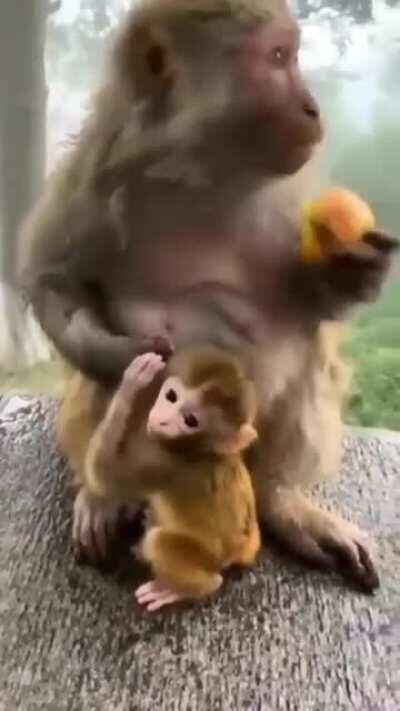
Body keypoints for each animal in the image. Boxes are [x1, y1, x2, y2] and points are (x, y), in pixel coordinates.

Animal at [84, 347, 261, 611]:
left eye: (190, 420)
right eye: (171, 396)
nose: (162, 419)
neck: (195, 448)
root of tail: (240, 550)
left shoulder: (163, 464)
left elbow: (103, 474)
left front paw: (132, 384)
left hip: (206, 557)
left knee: (164, 546)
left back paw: (177, 589)